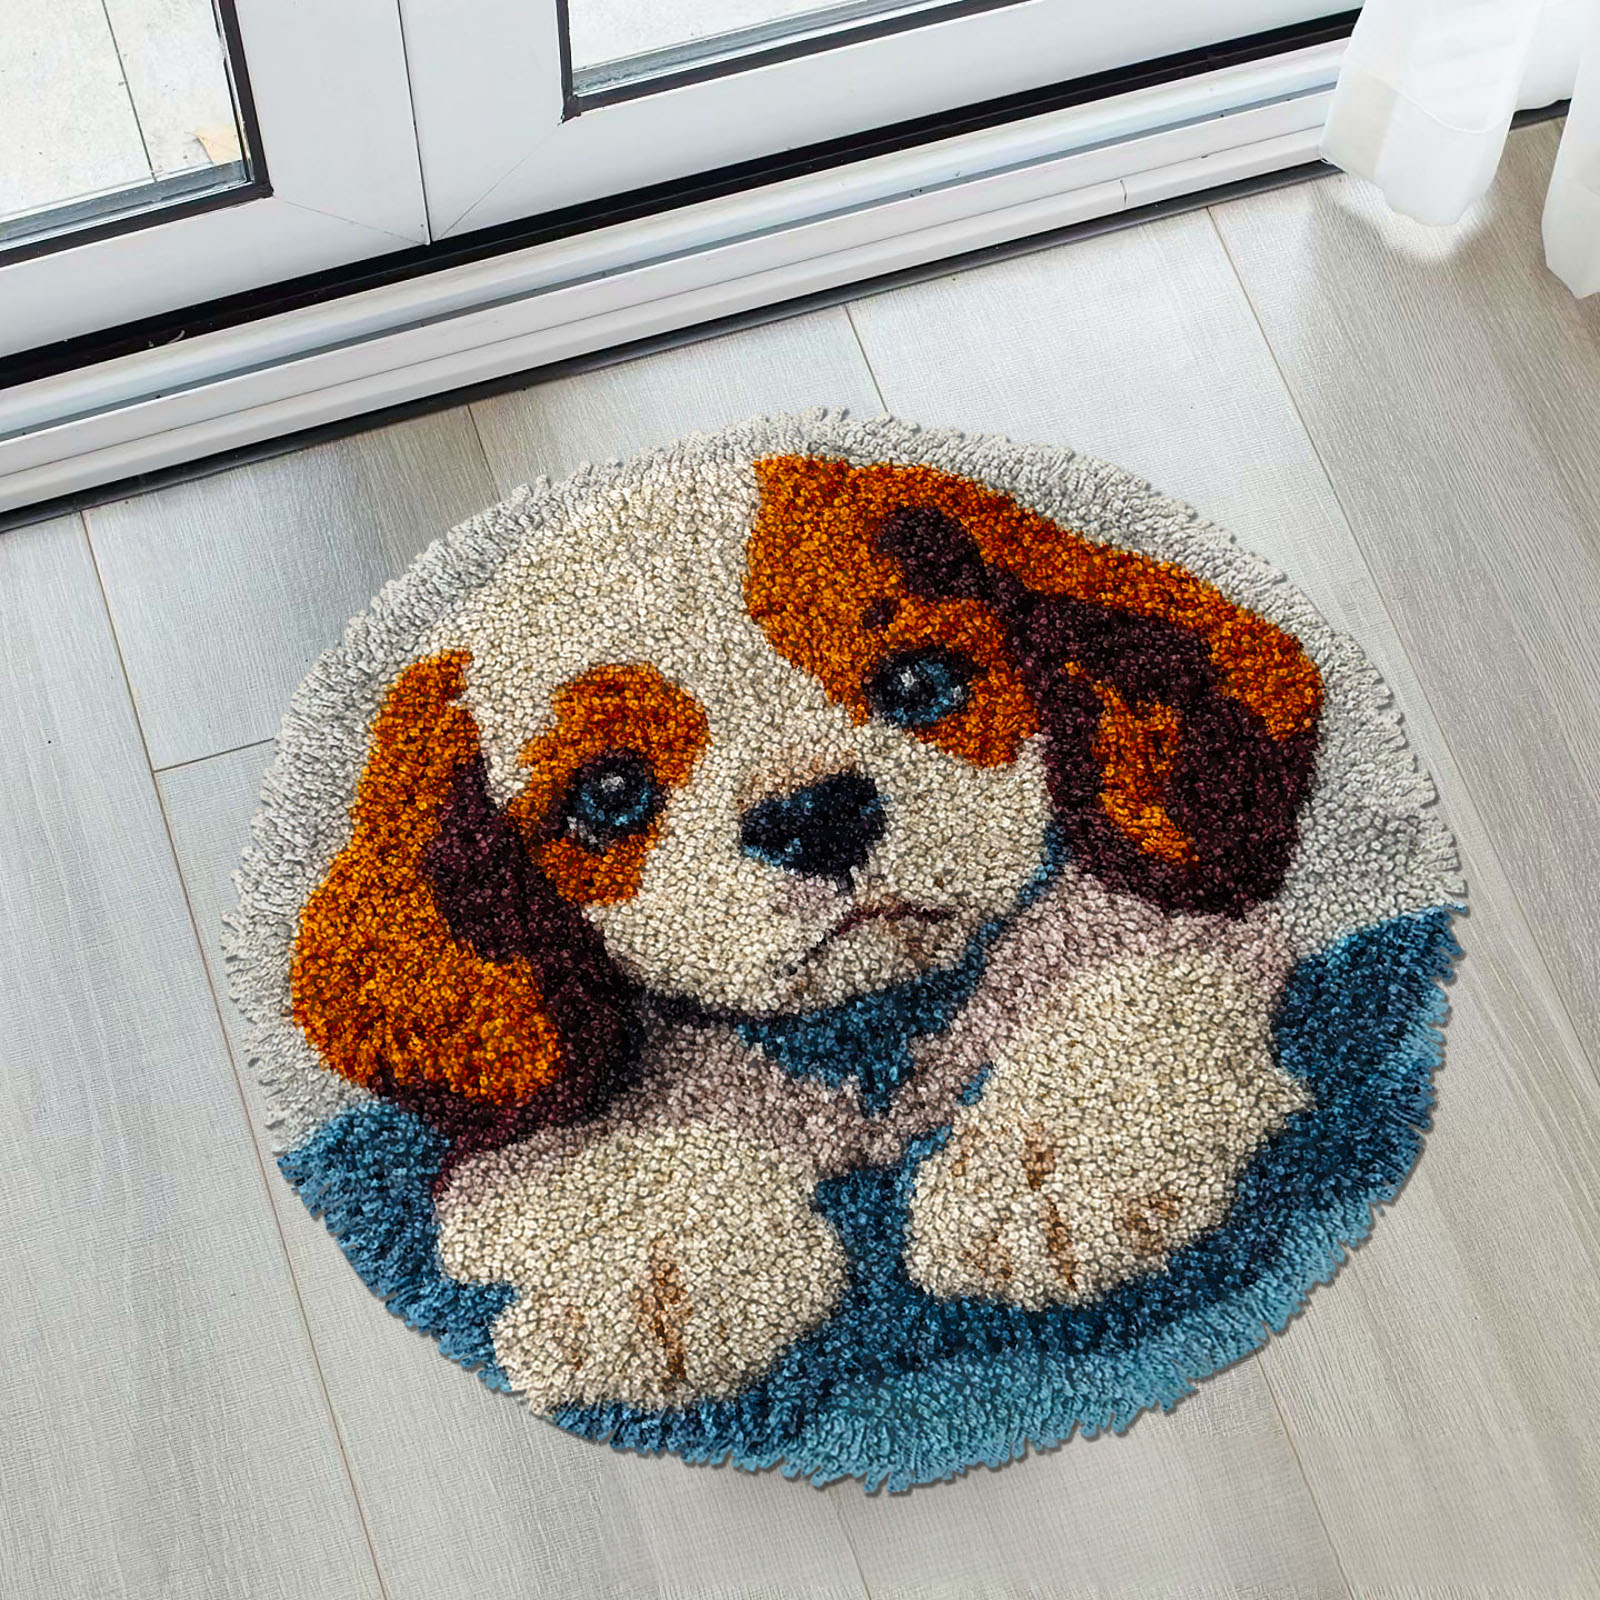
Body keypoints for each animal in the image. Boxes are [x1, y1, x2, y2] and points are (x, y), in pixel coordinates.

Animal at [288, 451, 1322, 1413]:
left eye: (923, 680)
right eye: (610, 793)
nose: (816, 817)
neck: (867, 1035)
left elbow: (1126, 973)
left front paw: (1048, 1174)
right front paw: (660, 1271)